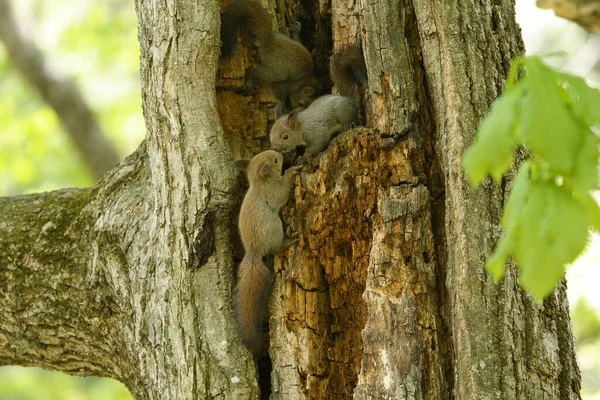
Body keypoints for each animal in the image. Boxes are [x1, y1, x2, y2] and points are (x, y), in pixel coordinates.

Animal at [233, 151, 300, 356]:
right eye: (275, 160)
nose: (281, 153)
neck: (259, 182)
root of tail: (253, 252)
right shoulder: (273, 192)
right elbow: (282, 193)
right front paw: (291, 172)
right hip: (274, 228)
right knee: (276, 247)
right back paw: (287, 242)